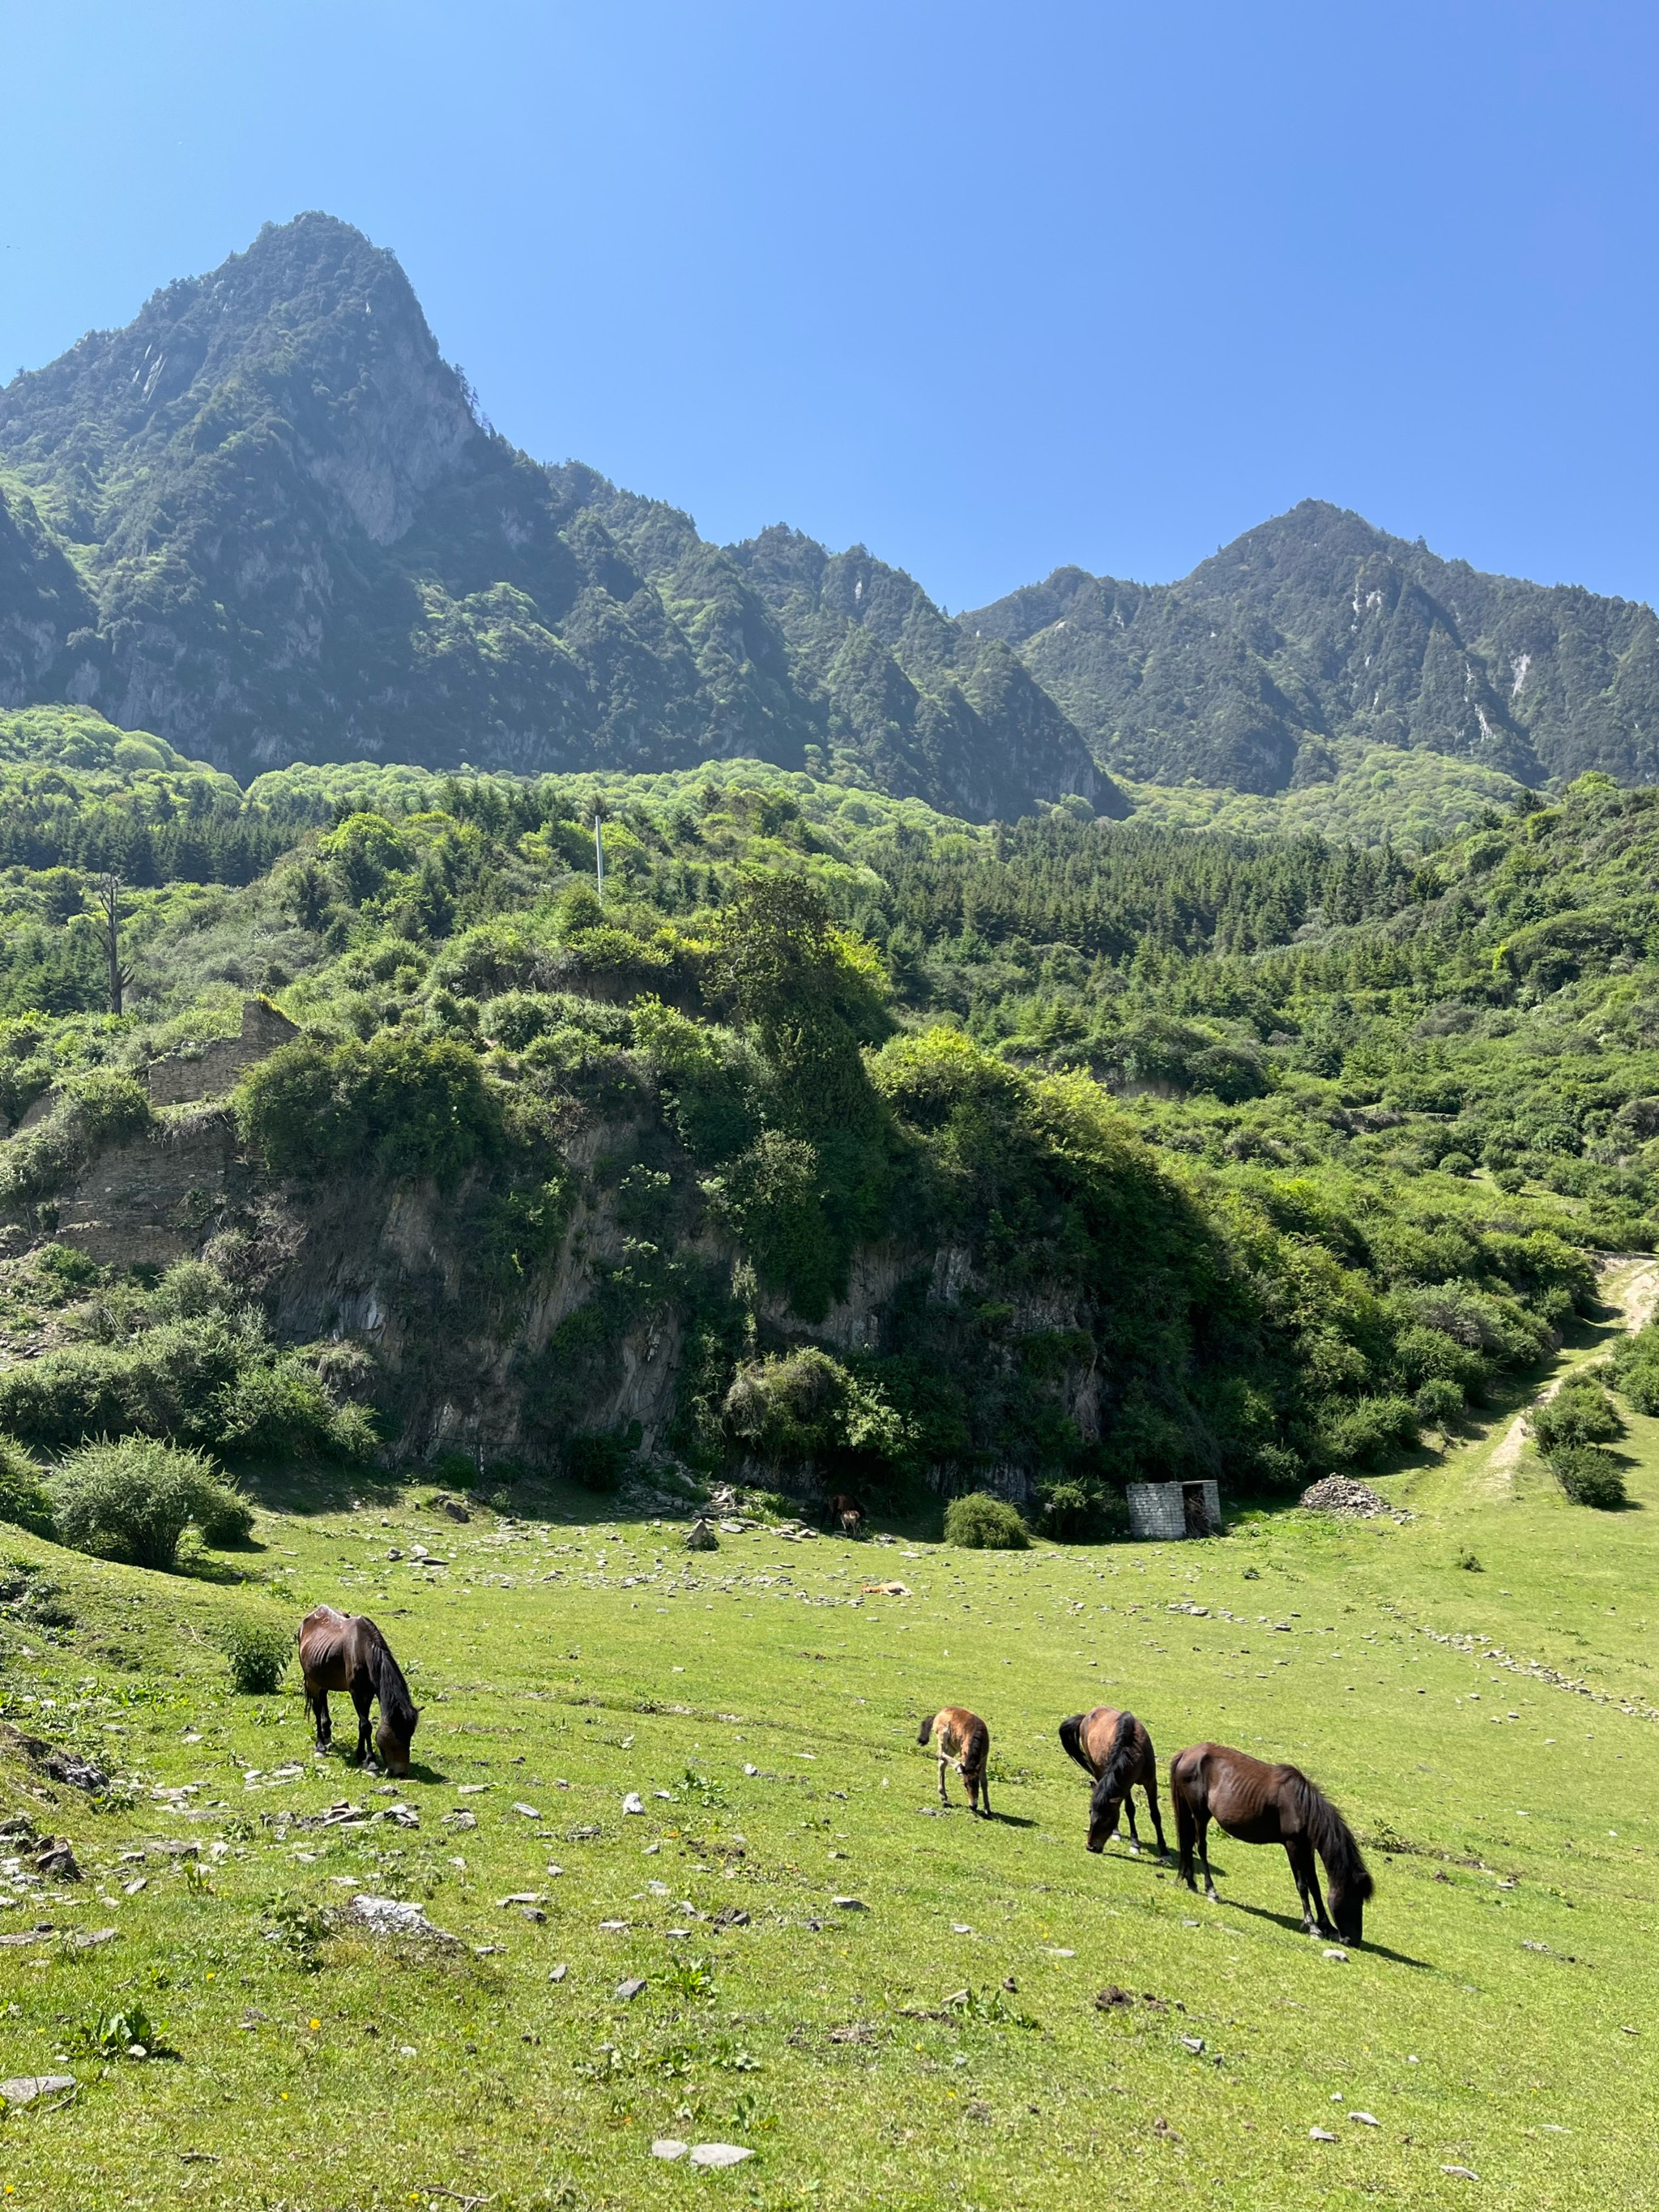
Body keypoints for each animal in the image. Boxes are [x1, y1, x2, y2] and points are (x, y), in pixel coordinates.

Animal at [296, 1610, 418, 1778]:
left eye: (410, 1735)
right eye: (397, 1736)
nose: (402, 1773)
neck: (364, 1650)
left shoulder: (368, 1694)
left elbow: (362, 1723)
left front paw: (361, 1755)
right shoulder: (356, 1693)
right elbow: (366, 1726)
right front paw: (372, 1763)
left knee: (324, 1698)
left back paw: (327, 1735)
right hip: (311, 1680)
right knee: (317, 1708)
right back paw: (320, 1745)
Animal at [915, 1707, 995, 1813]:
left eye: (977, 1784)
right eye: (965, 1785)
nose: (973, 1806)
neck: (977, 1735)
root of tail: (939, 1712)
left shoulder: (984, 1758)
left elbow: (984, 1781)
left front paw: (987, 1809)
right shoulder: (964, 1754)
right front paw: (959, 1769)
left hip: (952, 1746)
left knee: (942, 1762)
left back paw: (944, 1796)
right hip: (943, 1735)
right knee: (940, 1754)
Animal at [1066, 1698, 1167, 1858]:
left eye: (1108, 1818)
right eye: (1090, 1813)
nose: (1091, 1847)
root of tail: (1087, 1716)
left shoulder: (1151, 1782)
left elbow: (1155, 1814)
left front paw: (1164, 1851)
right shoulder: (1125, 1784)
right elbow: (1130, 1809)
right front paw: (1135, 1844)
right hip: (1097, 1769)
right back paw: (1117, 1833)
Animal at [1167, 1734, 1380, 1946]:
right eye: (1353, 1899)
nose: (1353, 1940)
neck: (1302, 1806)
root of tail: (1186, 1753)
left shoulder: (1307, 1847)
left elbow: (1315, 1885)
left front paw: (1326, 1925)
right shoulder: (1293, 1845)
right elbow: (1303, 1885)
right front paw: (1313, 1926)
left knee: (1187, 1843)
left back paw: (1191, 1883)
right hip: (1200, 1814)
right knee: (1200, 1847)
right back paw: (1211, 1891)